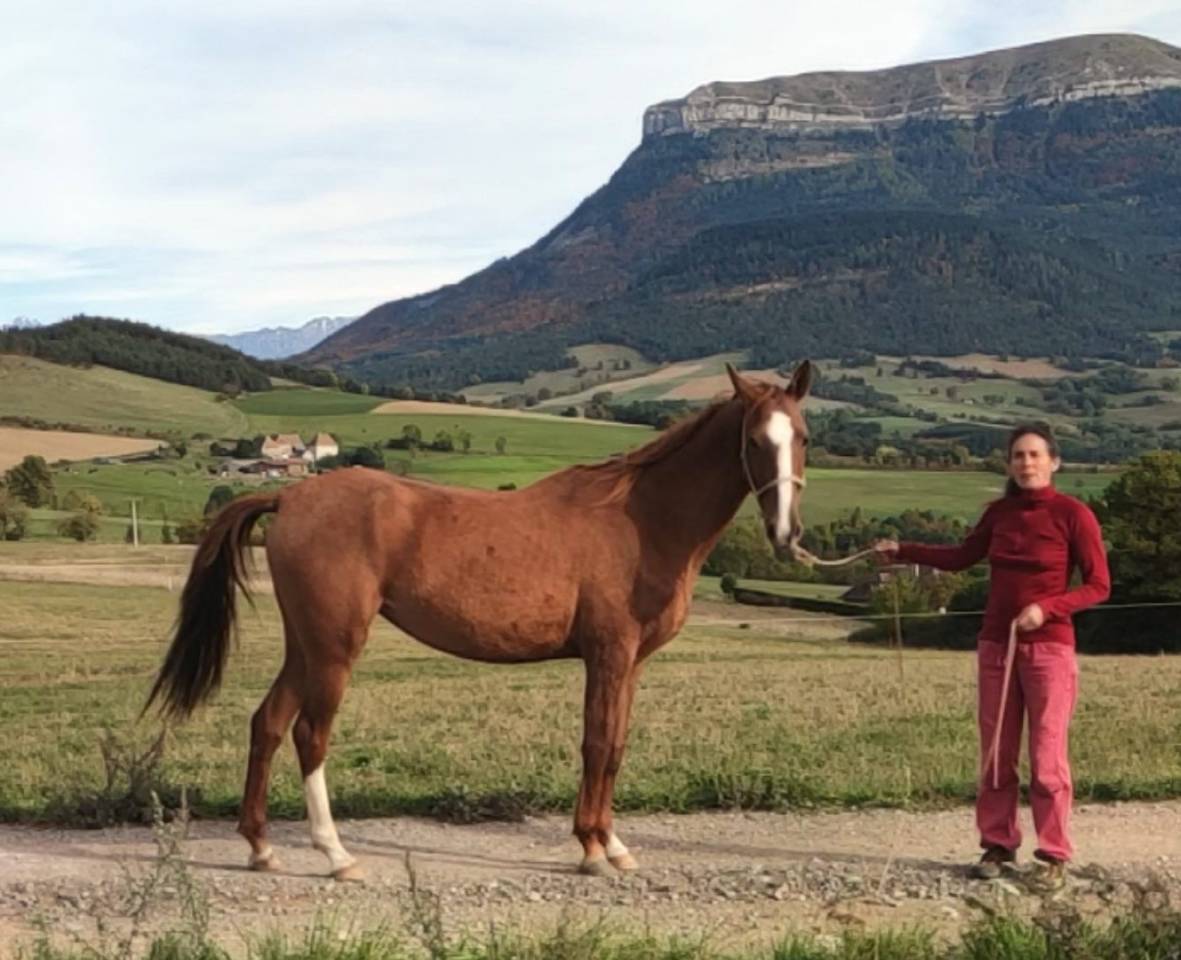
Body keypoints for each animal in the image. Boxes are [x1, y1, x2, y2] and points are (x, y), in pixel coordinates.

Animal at [145, 361, 813, 879]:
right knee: (311, 734)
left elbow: (617, 746)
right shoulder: (609, 654)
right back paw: (335, 855)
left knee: (268, 724)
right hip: (335, 646)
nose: (787, 534)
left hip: (305, 644)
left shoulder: (630, 665)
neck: (640, 520)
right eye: (755, 441)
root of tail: (290, 496)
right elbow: (597, 744)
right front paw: (591, 850)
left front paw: (615, 845)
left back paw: (261, 848)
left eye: (802, 436)